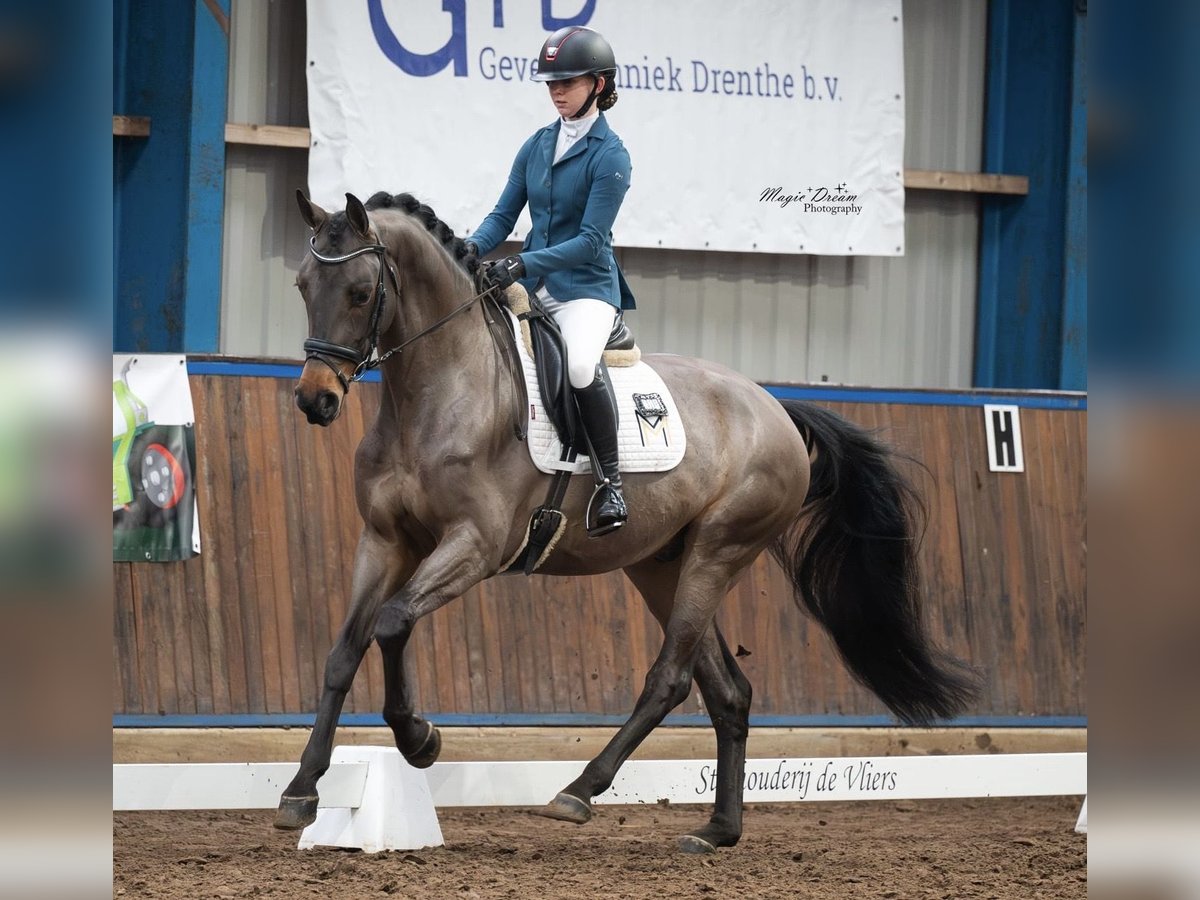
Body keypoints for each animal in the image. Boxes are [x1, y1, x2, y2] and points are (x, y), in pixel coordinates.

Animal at [276, 188, 979, 854]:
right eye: (304, 286)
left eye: (361, 292)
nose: (316, 400)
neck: (441, 390)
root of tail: (773, 405)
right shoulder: (384, 541)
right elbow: (345, 651)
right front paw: (301, 790)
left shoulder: (476, 546)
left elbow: (393, 623)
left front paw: (420, 739)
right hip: (660, 568)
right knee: (728, 691)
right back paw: (715, 831)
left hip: (718, 553)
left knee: (669, 679)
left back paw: (579, 791)